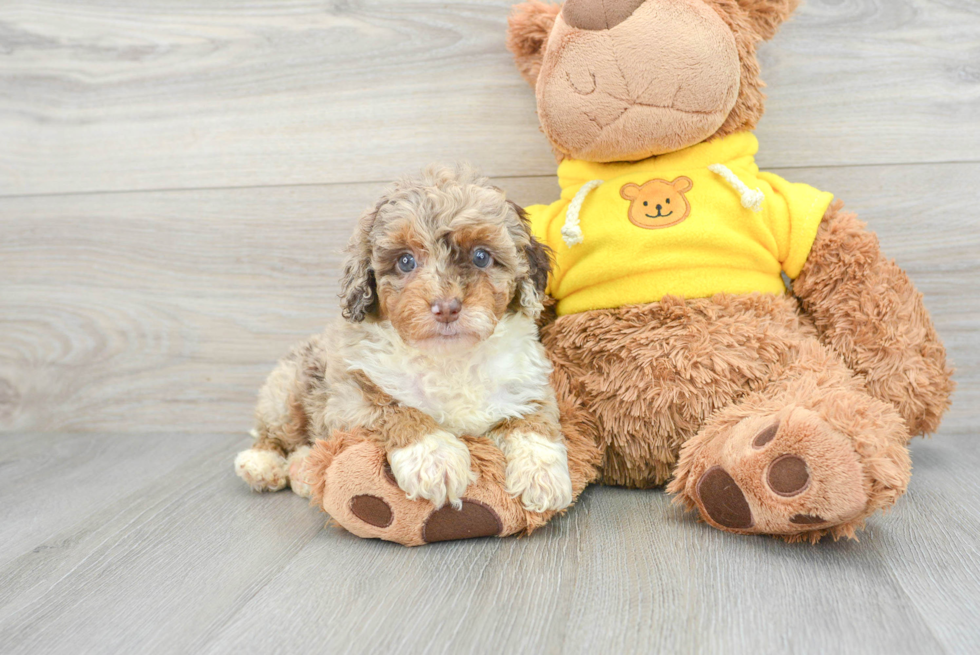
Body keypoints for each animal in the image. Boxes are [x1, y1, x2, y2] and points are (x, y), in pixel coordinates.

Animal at [235, 163, 576, 512]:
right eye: (405, 261)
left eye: (481, 257)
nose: (446, 308)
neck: (449, 359)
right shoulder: (349, 399)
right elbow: (396, 409)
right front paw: (435, 458)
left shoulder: (527, 387)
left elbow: (534, 421)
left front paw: (543, 474)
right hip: (287, 391)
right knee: (275, 434)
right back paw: (262, 465)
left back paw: (302, 470)